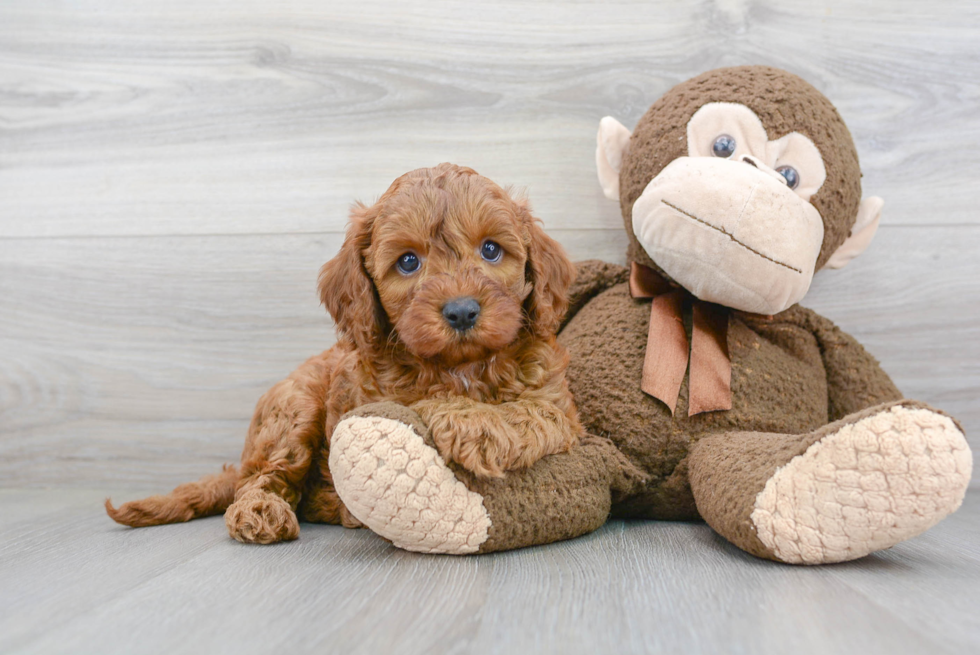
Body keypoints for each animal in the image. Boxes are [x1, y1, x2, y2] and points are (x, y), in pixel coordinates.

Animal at [107, 163, 580, 544]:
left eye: (491, 249)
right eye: (408, 261)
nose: (462, 311)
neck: (459, 367)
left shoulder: (562, 410)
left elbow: (535, 412)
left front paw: (478, 424)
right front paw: (465, 417)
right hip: (293, 410)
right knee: (262, 478)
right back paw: (263, 511)